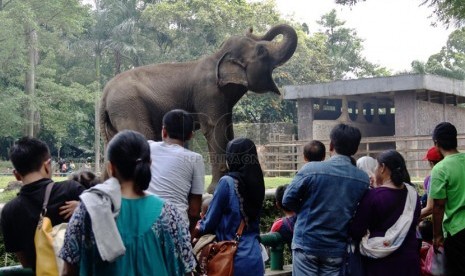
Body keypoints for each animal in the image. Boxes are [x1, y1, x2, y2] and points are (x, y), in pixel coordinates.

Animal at [100, 23, 300, 193]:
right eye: (262, 51)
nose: (250, 28)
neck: (218, 56)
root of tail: (105, 92)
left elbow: (228, 131)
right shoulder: (208, 94)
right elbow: (214, 130)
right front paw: (214, 189)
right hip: (129, 107)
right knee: (142, 137)